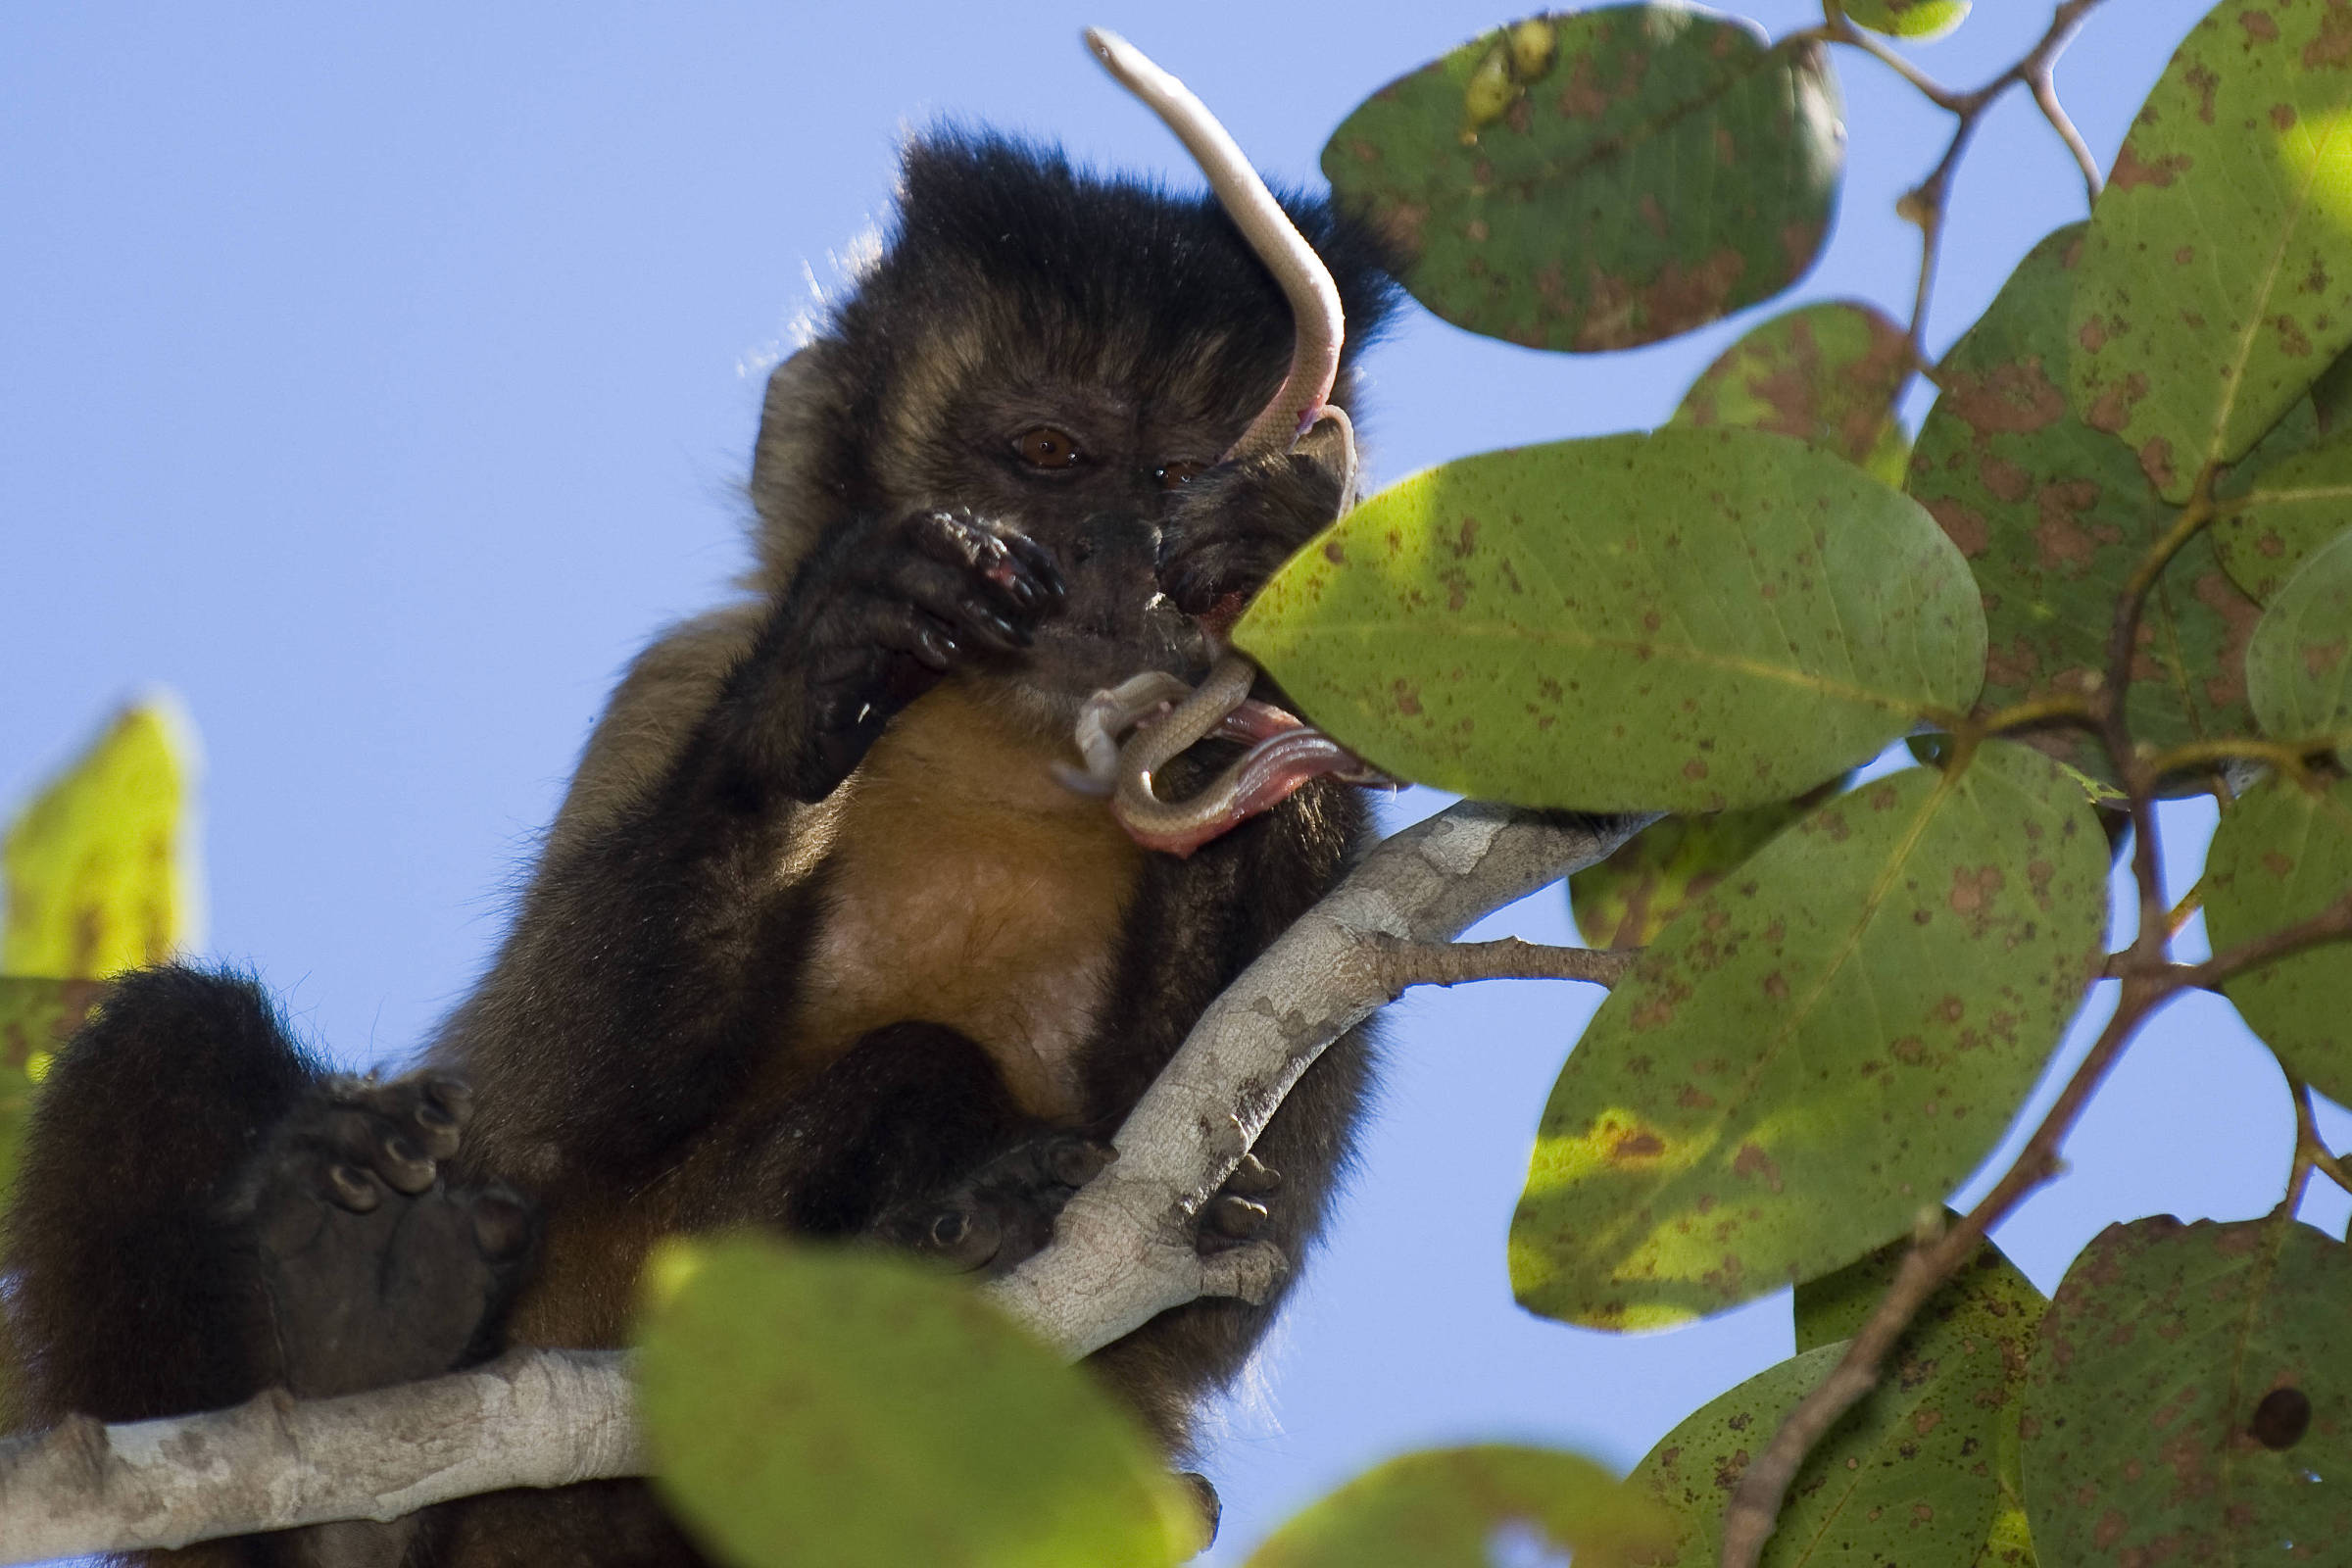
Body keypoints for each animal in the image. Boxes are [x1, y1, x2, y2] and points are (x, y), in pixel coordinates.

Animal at [4, 129, 1400, 1566]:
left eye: (1177, 480)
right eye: (1050, 453)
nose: (1123, 561)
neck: (999, 746)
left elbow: (1221, 1258)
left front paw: (1278, 578)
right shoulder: (676, 677)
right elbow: (545, 1107)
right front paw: (811, 686)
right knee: (173, 1031)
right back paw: (351, 1381)